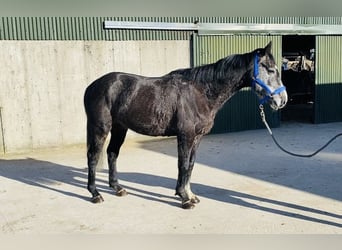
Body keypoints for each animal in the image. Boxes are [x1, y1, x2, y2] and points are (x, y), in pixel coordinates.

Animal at [84, 41, 288, 209]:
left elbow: (190, 165)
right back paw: (95, 194)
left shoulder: (197, 137)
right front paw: (184, 198)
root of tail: (93, 85)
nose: (282, 100)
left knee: (112, 153)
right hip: (100, 127)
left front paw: (190, 194)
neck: (201, 92)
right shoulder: (186, 135)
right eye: (271, 70)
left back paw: (117, 188)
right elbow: (182, 164)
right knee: (93, 156)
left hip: (120, 128)